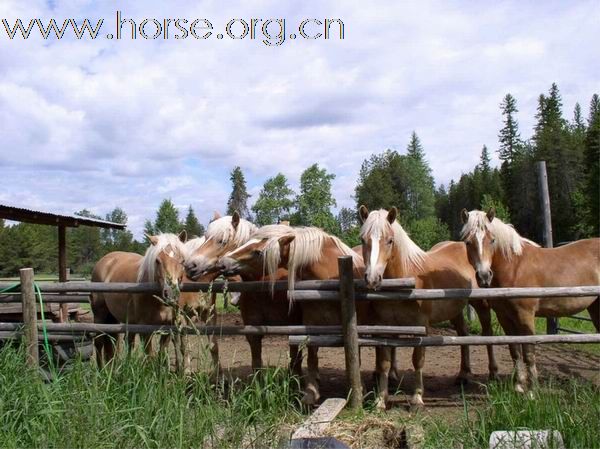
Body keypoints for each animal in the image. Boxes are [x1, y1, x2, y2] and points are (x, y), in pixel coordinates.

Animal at [91, 231, 204, 372]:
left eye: (182, 261)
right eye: (157, 261)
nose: (170, 293)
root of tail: (105, 260)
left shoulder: (168, 327)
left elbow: (162, 352)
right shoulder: (145, 329)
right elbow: (149, 355)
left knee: (116, 341)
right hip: (99, 314)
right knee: (99, 342)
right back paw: (101, 370)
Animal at [182, 212, 304, 376]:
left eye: (222, 241)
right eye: (206, 237)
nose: (190, 266)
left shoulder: (295, 328)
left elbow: (295, 362)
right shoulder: (252, 331)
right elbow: (257, 364)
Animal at [216, 226, 368, 404]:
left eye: (258, 252)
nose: (222, 263)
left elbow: (356, 357)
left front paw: (361, 390)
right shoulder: (310, 325)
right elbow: (311, 357)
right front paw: (311, 392)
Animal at [462, 208, 596, 390]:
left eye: (492, 240)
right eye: (468, 242)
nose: (484, 276)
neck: (514, 267)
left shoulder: (525, 315)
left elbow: (529, 352)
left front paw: (533, 389)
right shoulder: (504, 317)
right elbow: (515, 351)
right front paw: (519, 385)